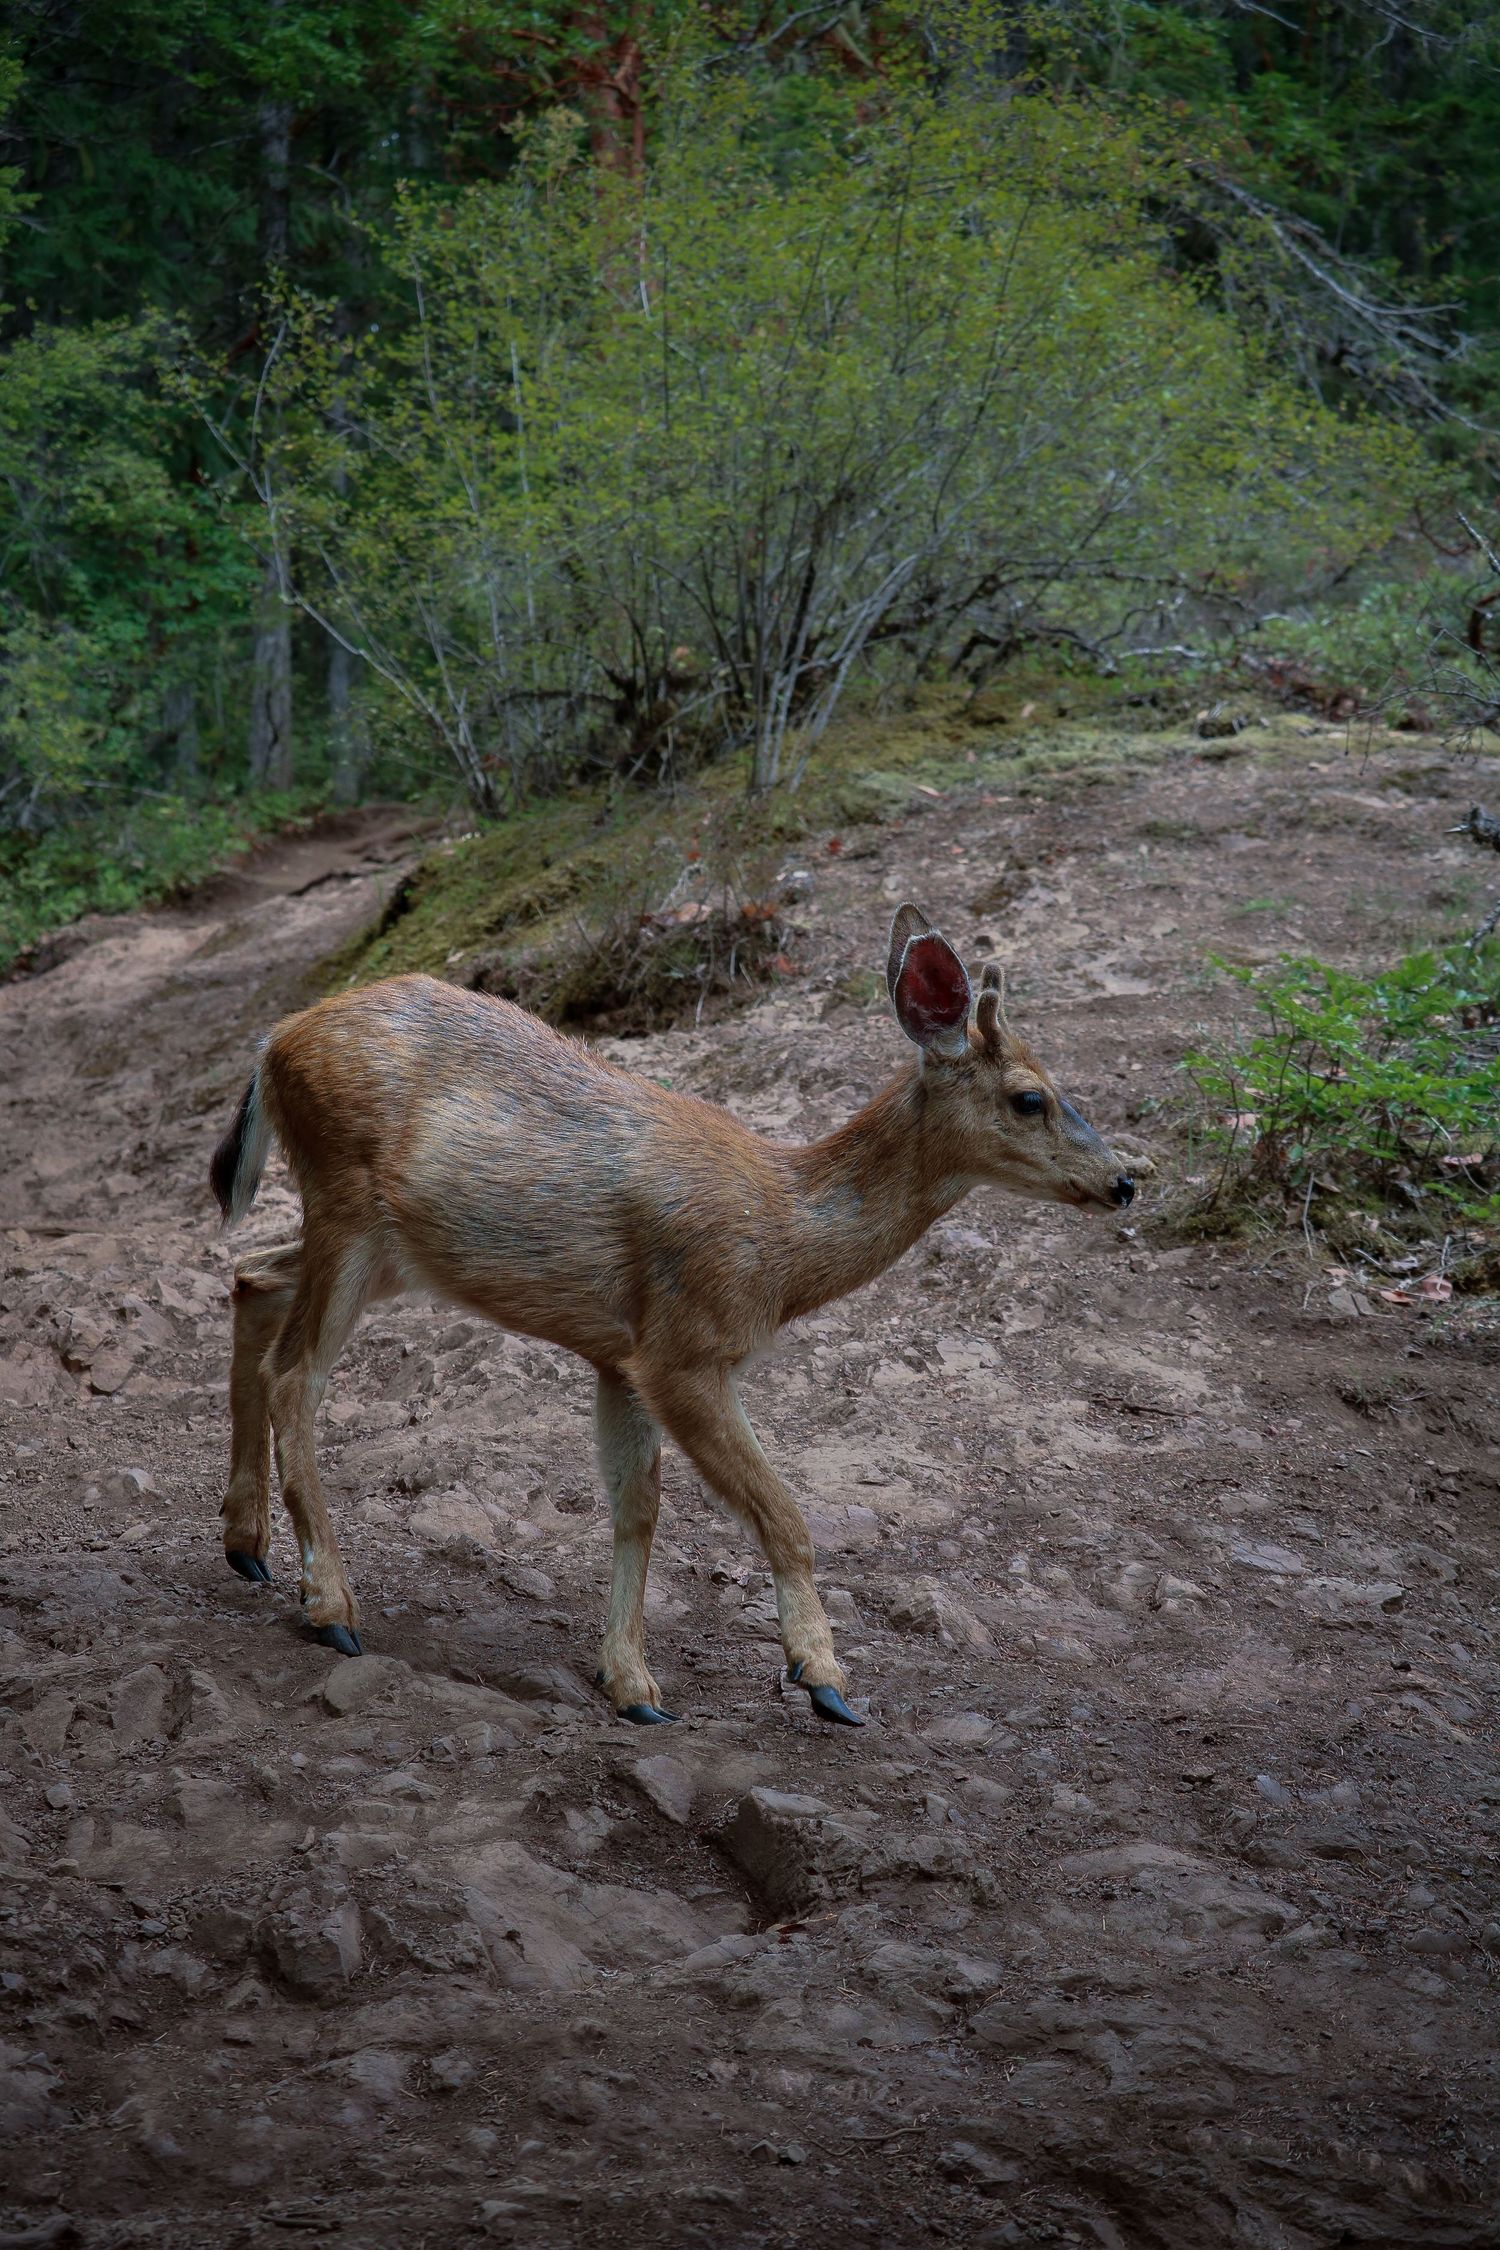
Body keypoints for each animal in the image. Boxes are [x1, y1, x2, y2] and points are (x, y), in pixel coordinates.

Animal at [209, 904, 1134, 1728]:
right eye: (1029, 1098)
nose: (1125, 1179)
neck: (783, 1239)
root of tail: (271, 1044)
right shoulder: (684, 1350)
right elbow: (782, 1513)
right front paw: (824, 1679)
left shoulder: (620, 1356)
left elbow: (638, 1507)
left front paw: (632, 1684)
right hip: (348, 1204)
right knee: (295, 1370)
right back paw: (330, 1604)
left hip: (388, 1250)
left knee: (252, 1276)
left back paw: (246, 1545)